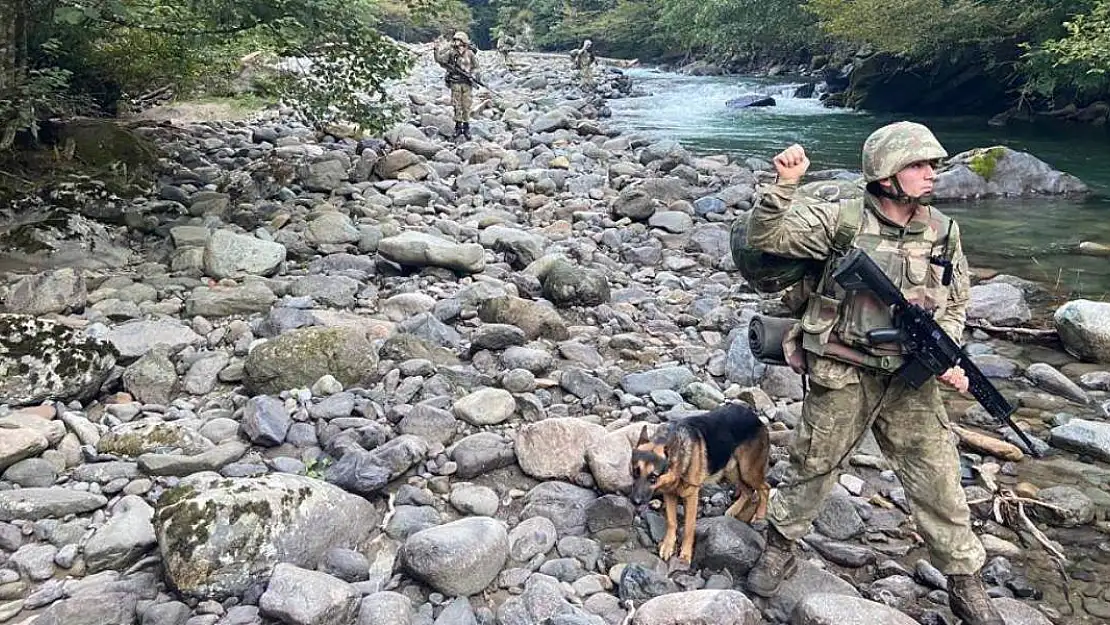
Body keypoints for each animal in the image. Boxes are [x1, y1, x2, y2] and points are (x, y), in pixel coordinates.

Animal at [630, 404, 768, 563]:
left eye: (653, 478)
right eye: (635, 472)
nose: (635, 502)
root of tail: (754, 416)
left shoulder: (691, 496)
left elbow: (689, 527)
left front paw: (685, 553)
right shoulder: (669, 494)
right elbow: (671, 521)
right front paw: (668, 545)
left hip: (748, 472)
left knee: (765, 488)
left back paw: (760, 515)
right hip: (730, 470)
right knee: (748, 491)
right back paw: (734, 509)